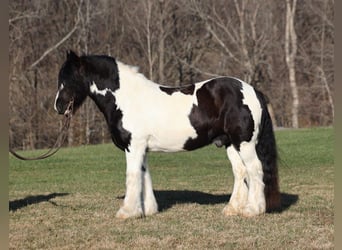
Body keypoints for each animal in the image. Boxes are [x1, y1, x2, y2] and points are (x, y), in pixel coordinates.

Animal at [54, 50, 280, 219]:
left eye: (68, 78)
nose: (58, 106)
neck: (127, 98)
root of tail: (253, 90)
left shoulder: (133, 146)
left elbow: (132, 176)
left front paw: (127, 212)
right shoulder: (142, 148)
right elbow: (144, 175)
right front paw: (148, 210)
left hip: (245, 143)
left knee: (255, 169)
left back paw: (253, 210)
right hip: (230, 143)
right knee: (240, 172)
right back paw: (233, 209)